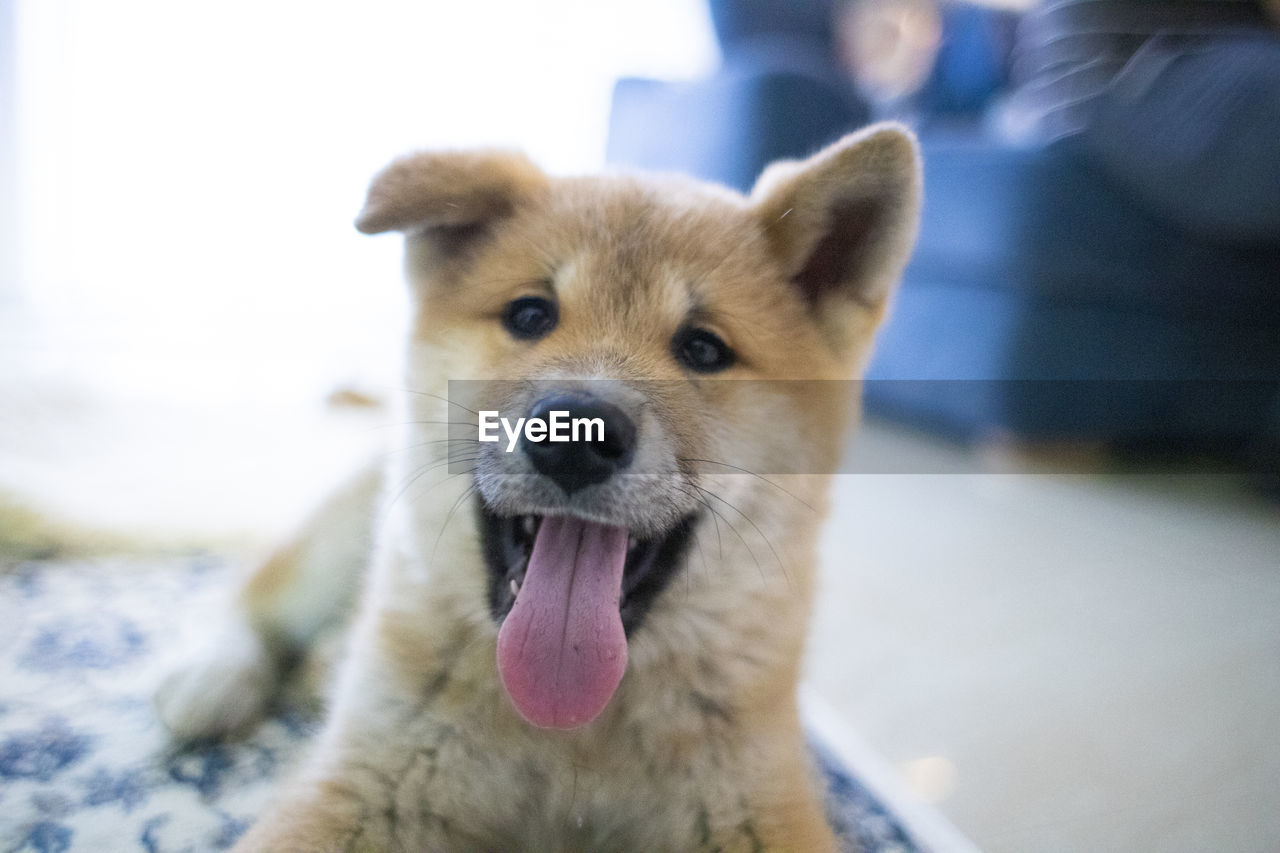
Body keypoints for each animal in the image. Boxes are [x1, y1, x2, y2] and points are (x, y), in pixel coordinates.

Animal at [157, 121, 921, 850]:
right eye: (530, 315)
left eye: (704, 349)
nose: (576, 435)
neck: (570, 731)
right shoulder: (361, 784)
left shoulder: (754, 805)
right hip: (338, 543)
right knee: (252, 587)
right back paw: (213, 675)